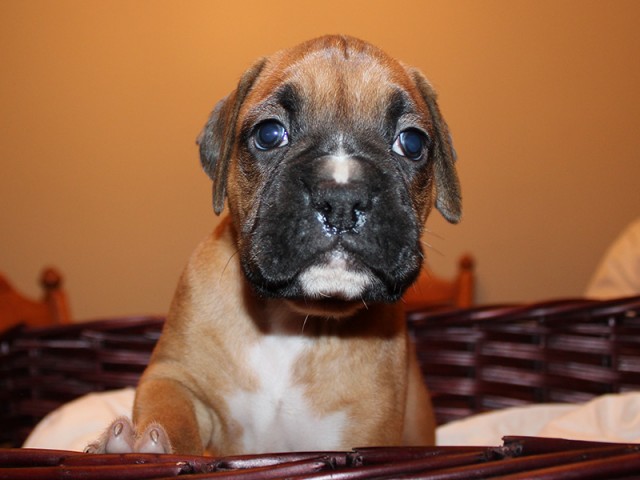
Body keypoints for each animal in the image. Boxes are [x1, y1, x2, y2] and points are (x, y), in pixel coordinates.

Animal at [89, 35, 460, 456]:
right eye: (269, 134)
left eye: (412, 143)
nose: (342, 198)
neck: (291, 321)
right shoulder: (173, 377)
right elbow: (172, 417)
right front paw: (141, 446)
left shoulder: (369, 429)